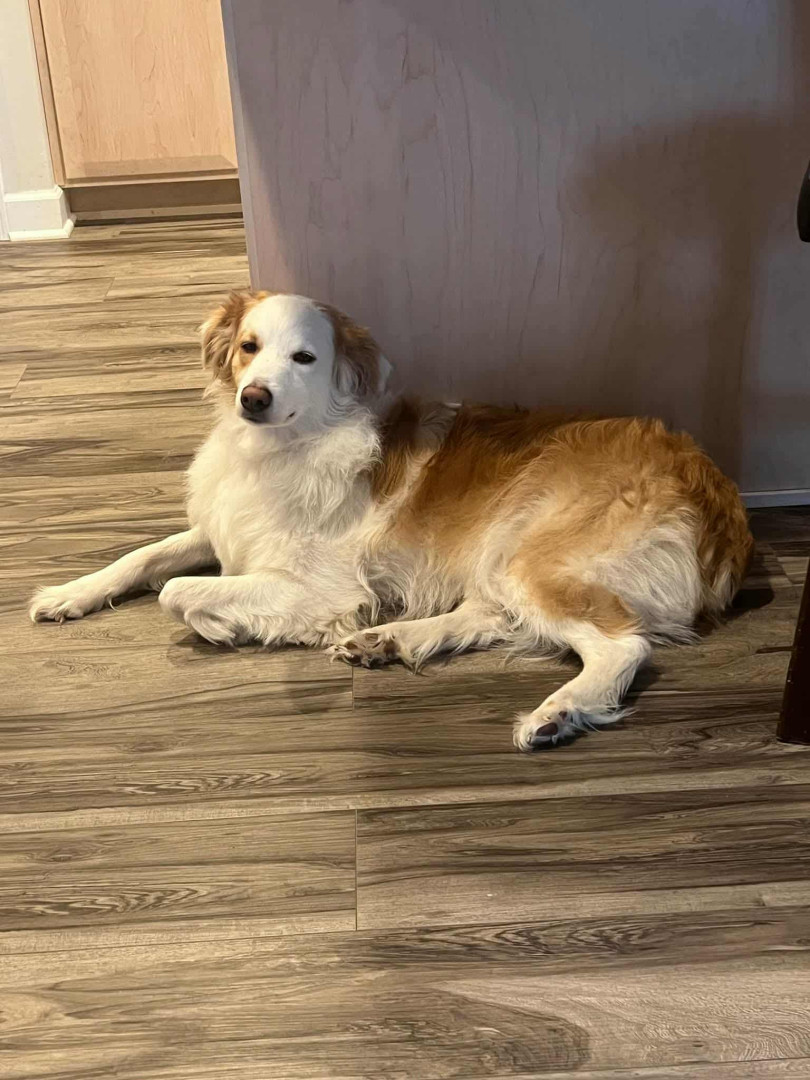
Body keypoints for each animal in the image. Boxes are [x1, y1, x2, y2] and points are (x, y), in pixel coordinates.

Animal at [30, 291, 753, 750]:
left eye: (305, 358)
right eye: (248, 347)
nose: (253, 397)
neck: (278, 449)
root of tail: (717, 491)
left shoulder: (320, 586)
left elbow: (178, 594)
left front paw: (220, 623)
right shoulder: (223, 530)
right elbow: (142, 557)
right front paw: (67, 594)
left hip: (531, 553)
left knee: (619, 645)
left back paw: (559, 713)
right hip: (500, 550)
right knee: (492, 616)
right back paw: (390, 641)